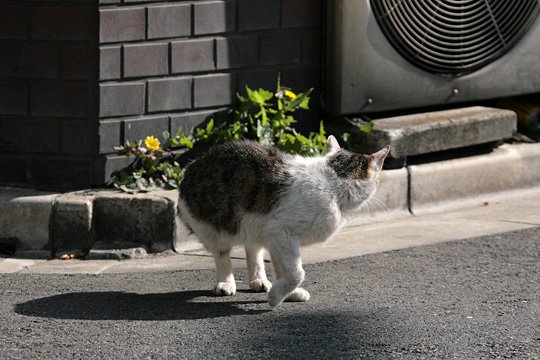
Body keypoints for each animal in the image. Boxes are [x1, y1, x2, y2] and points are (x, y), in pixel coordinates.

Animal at [179, 135, 390, 306]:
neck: (334, 181)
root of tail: (193, 164)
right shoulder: (280, 232)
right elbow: (297, 273)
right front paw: (275, 298)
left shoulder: (277, 238)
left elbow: (284, 270)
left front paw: (287, 294)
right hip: (214, 227)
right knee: (222, 254)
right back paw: (225, 283)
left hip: (254, 227)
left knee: (253, 249)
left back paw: (259, 281)